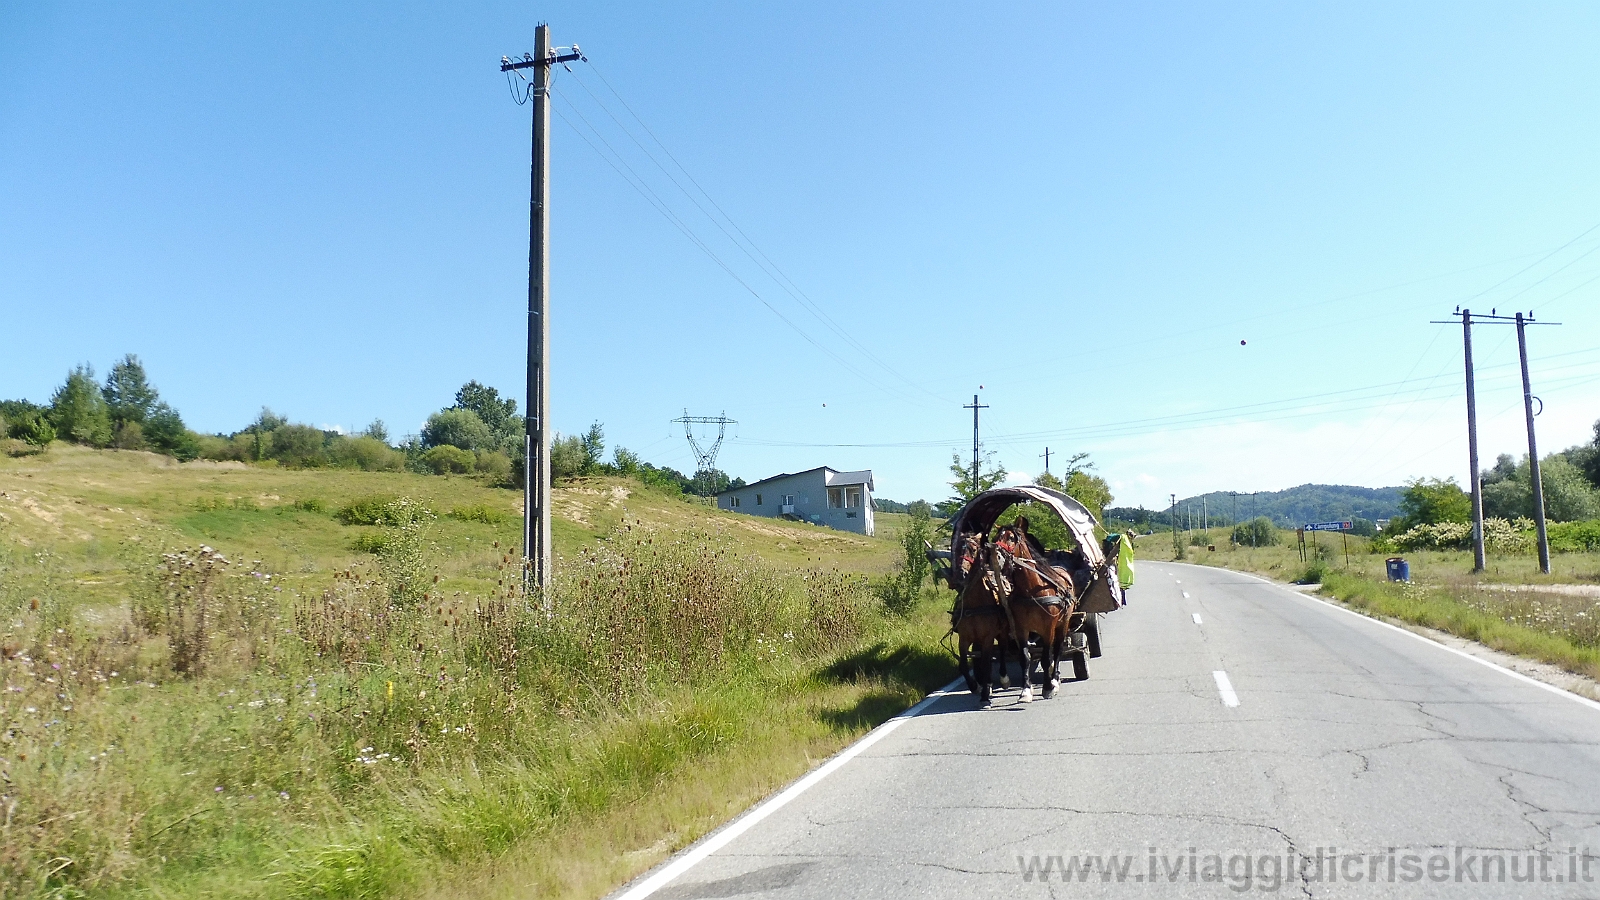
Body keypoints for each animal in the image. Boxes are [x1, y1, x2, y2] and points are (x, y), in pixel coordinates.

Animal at [992, 522, 1081, 698]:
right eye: (996, 537)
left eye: (1011, 538)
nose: (995, 556)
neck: (1031, 591)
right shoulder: (1021, 629)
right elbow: (1025, 658)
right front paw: (1026, 690)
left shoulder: (1048, 628)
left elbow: (1047, 658)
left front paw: (1048, 687)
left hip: (1063, 623)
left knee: (1058, 649)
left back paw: (1055, 679)